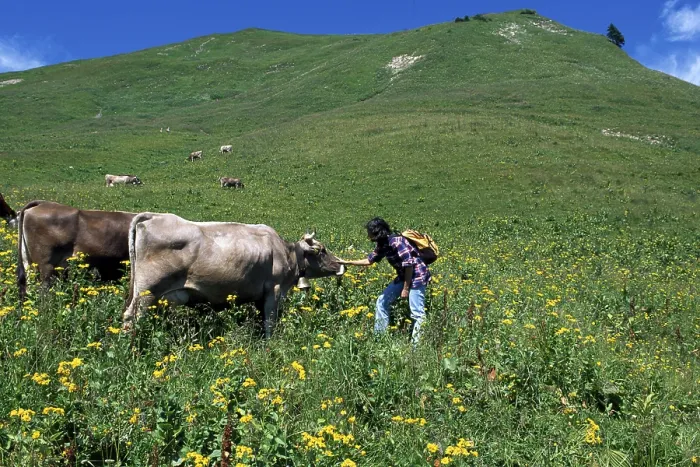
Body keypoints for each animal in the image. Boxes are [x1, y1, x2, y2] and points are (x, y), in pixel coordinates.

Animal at [122, 213, 345, 336]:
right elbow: (270, 323)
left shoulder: (260, 296)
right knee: (131, 318)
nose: (339, 264)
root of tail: (154, 216)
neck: (285, 252)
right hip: (147, 292)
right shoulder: (274, 290)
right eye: (322, 250)